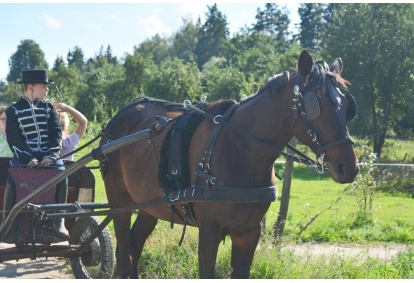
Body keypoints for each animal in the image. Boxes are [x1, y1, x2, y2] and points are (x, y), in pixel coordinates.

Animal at [100, 50, 360, 278]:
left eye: (346, 106)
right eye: (315, 106)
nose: (349, 168)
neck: (240, 150)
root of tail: (119, 116)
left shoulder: (249, 233)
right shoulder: (209, 232)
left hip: (149, 206)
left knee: (134, 247)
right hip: (120, 203)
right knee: (123, 254)